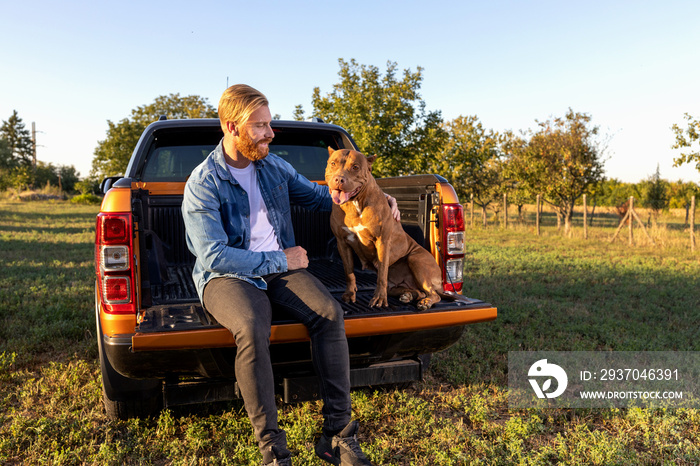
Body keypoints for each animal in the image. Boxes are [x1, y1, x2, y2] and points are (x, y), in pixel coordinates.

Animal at [322, 147, 442, 312]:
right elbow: (349, 272)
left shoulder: (383, 242)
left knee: (434, 294)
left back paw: (426, 302)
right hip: (398, 286)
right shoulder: (342, 243)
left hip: (417, 260)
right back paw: (409, 295)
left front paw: (379, 299)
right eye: (333, 163)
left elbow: (382, 275)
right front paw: (349, 294)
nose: (339, 179)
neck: (354, 204)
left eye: (355, 167)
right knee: (420, 292)